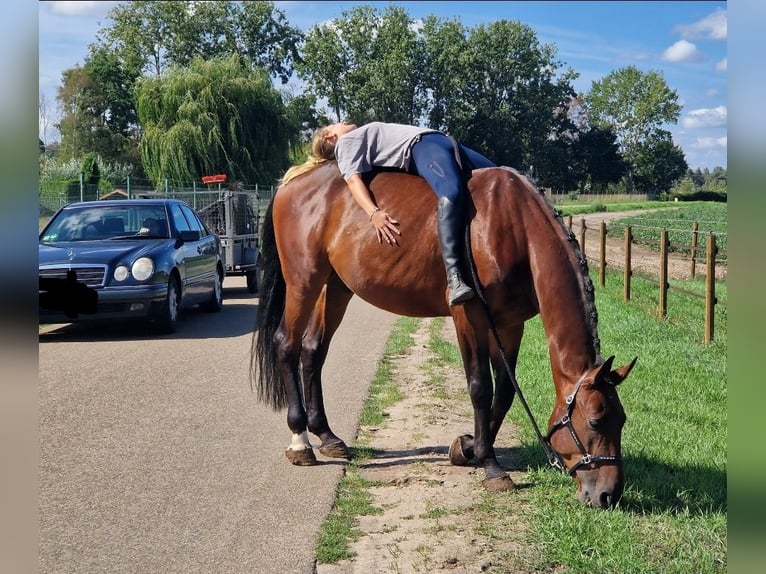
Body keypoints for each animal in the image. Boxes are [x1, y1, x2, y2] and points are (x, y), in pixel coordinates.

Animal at [251, 161, 637, 509]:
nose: (608, 495)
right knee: (287, 345)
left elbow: (504, 393)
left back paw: (327, 436)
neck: (515, 227)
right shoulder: (469, 316)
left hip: (335, 287)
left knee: (313, 350)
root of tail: (291, 182)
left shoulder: (510, 324)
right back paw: (300, 442)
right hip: (303, 281)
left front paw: (468, 449)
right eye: (596, 421)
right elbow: (480, 387)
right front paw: (491, 465)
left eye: (622, 420)